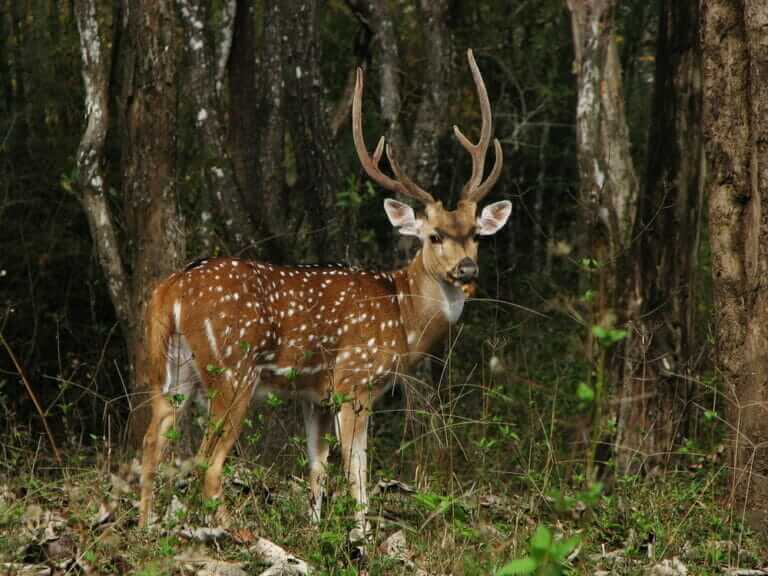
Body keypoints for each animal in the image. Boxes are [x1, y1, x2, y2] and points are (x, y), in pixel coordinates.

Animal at [140, 48, 510, 536]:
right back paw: (237, 533)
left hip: (173, 371)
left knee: (151, 441)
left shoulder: (314, 394)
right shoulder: (354, 379)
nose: (467, 268)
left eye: (476, 235)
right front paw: (362, 534)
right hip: (233, 368)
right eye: (434, 236)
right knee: (207, 461)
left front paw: (316, 527)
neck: (403, 316)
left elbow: (316, 468)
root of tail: (171, 290)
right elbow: (358, 469)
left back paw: (142, 525)